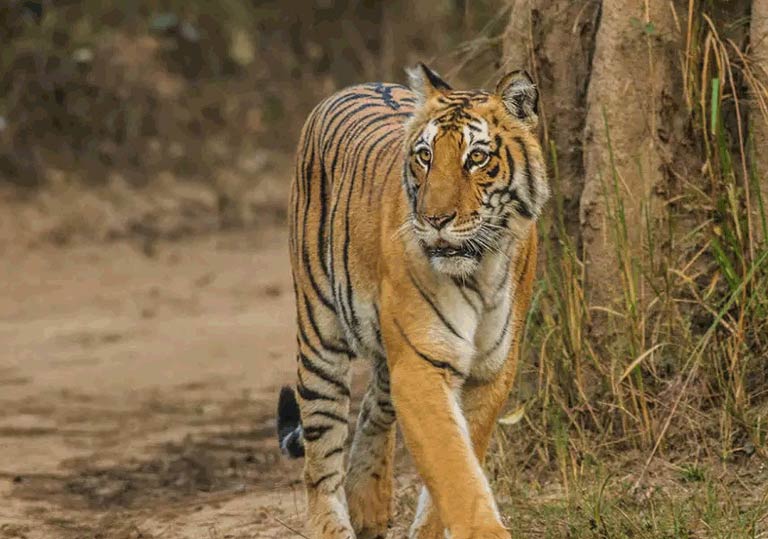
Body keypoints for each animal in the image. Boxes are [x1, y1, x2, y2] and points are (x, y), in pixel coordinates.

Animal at [276, 63, 549, 539]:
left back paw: (368, 504)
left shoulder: (491, 371)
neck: (481, 269)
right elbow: (454, 467)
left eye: (476, 158)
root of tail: (355, 85)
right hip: (319, 335)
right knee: (320, 458)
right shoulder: (421, 365)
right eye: (425, 156)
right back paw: (334, 523)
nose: (435, 219)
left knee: (372, 409)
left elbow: (460, 460)